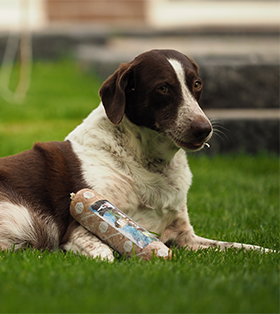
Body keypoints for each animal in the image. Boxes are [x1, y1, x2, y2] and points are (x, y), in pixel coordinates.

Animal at [0, 49, 268, 260]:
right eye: (163, 87)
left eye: (197, 84)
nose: (204, 129)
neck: (145, 163)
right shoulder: (77, 229)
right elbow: (105, 253)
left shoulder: (185, 237)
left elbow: (242, 247)